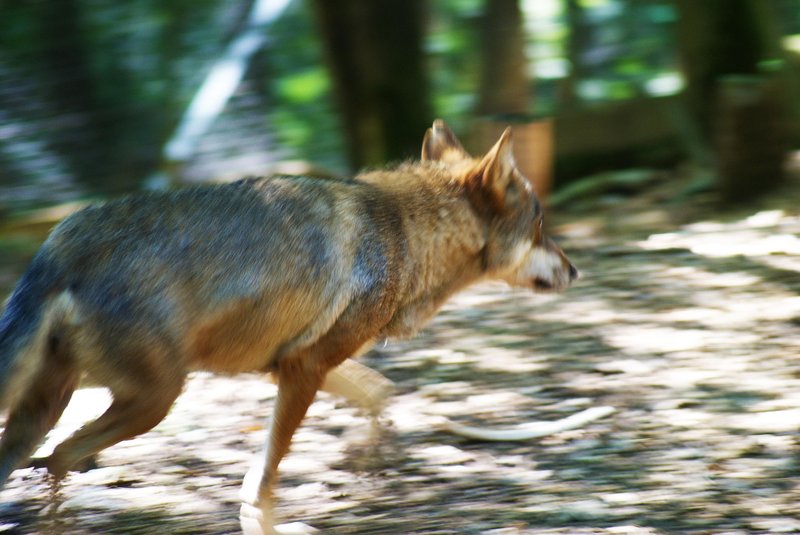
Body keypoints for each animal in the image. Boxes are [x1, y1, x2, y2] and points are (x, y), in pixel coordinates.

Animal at [0, 119, 576, 532]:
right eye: (541, 225)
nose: (575, 271)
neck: (408, 233)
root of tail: (62, 244)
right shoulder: (304, 369)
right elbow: (262, 483)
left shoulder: (291, 365)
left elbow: (379, 391)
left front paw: (369, 451)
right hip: (153, 403)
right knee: (61, 455)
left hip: (51, 409)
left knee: (49, 457)